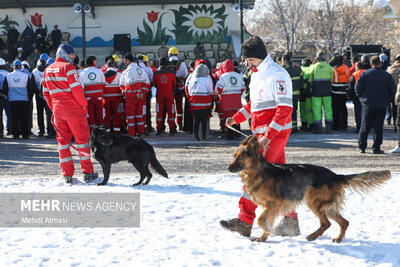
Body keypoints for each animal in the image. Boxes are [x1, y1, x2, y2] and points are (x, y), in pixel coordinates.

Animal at [228, 137, 390, 244]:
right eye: (234, 156)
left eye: (240, 158)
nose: (228, 168)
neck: (258, 171)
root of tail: (335, 175)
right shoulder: (271, 208)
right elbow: (264, 221)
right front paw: (263, 237)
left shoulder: (274, 204)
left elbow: (261, 220)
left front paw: (268, 231)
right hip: (328, 207)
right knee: (344, 222)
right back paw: (338, 238)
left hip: (313, 202)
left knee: (326, 223)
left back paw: (312, 236)